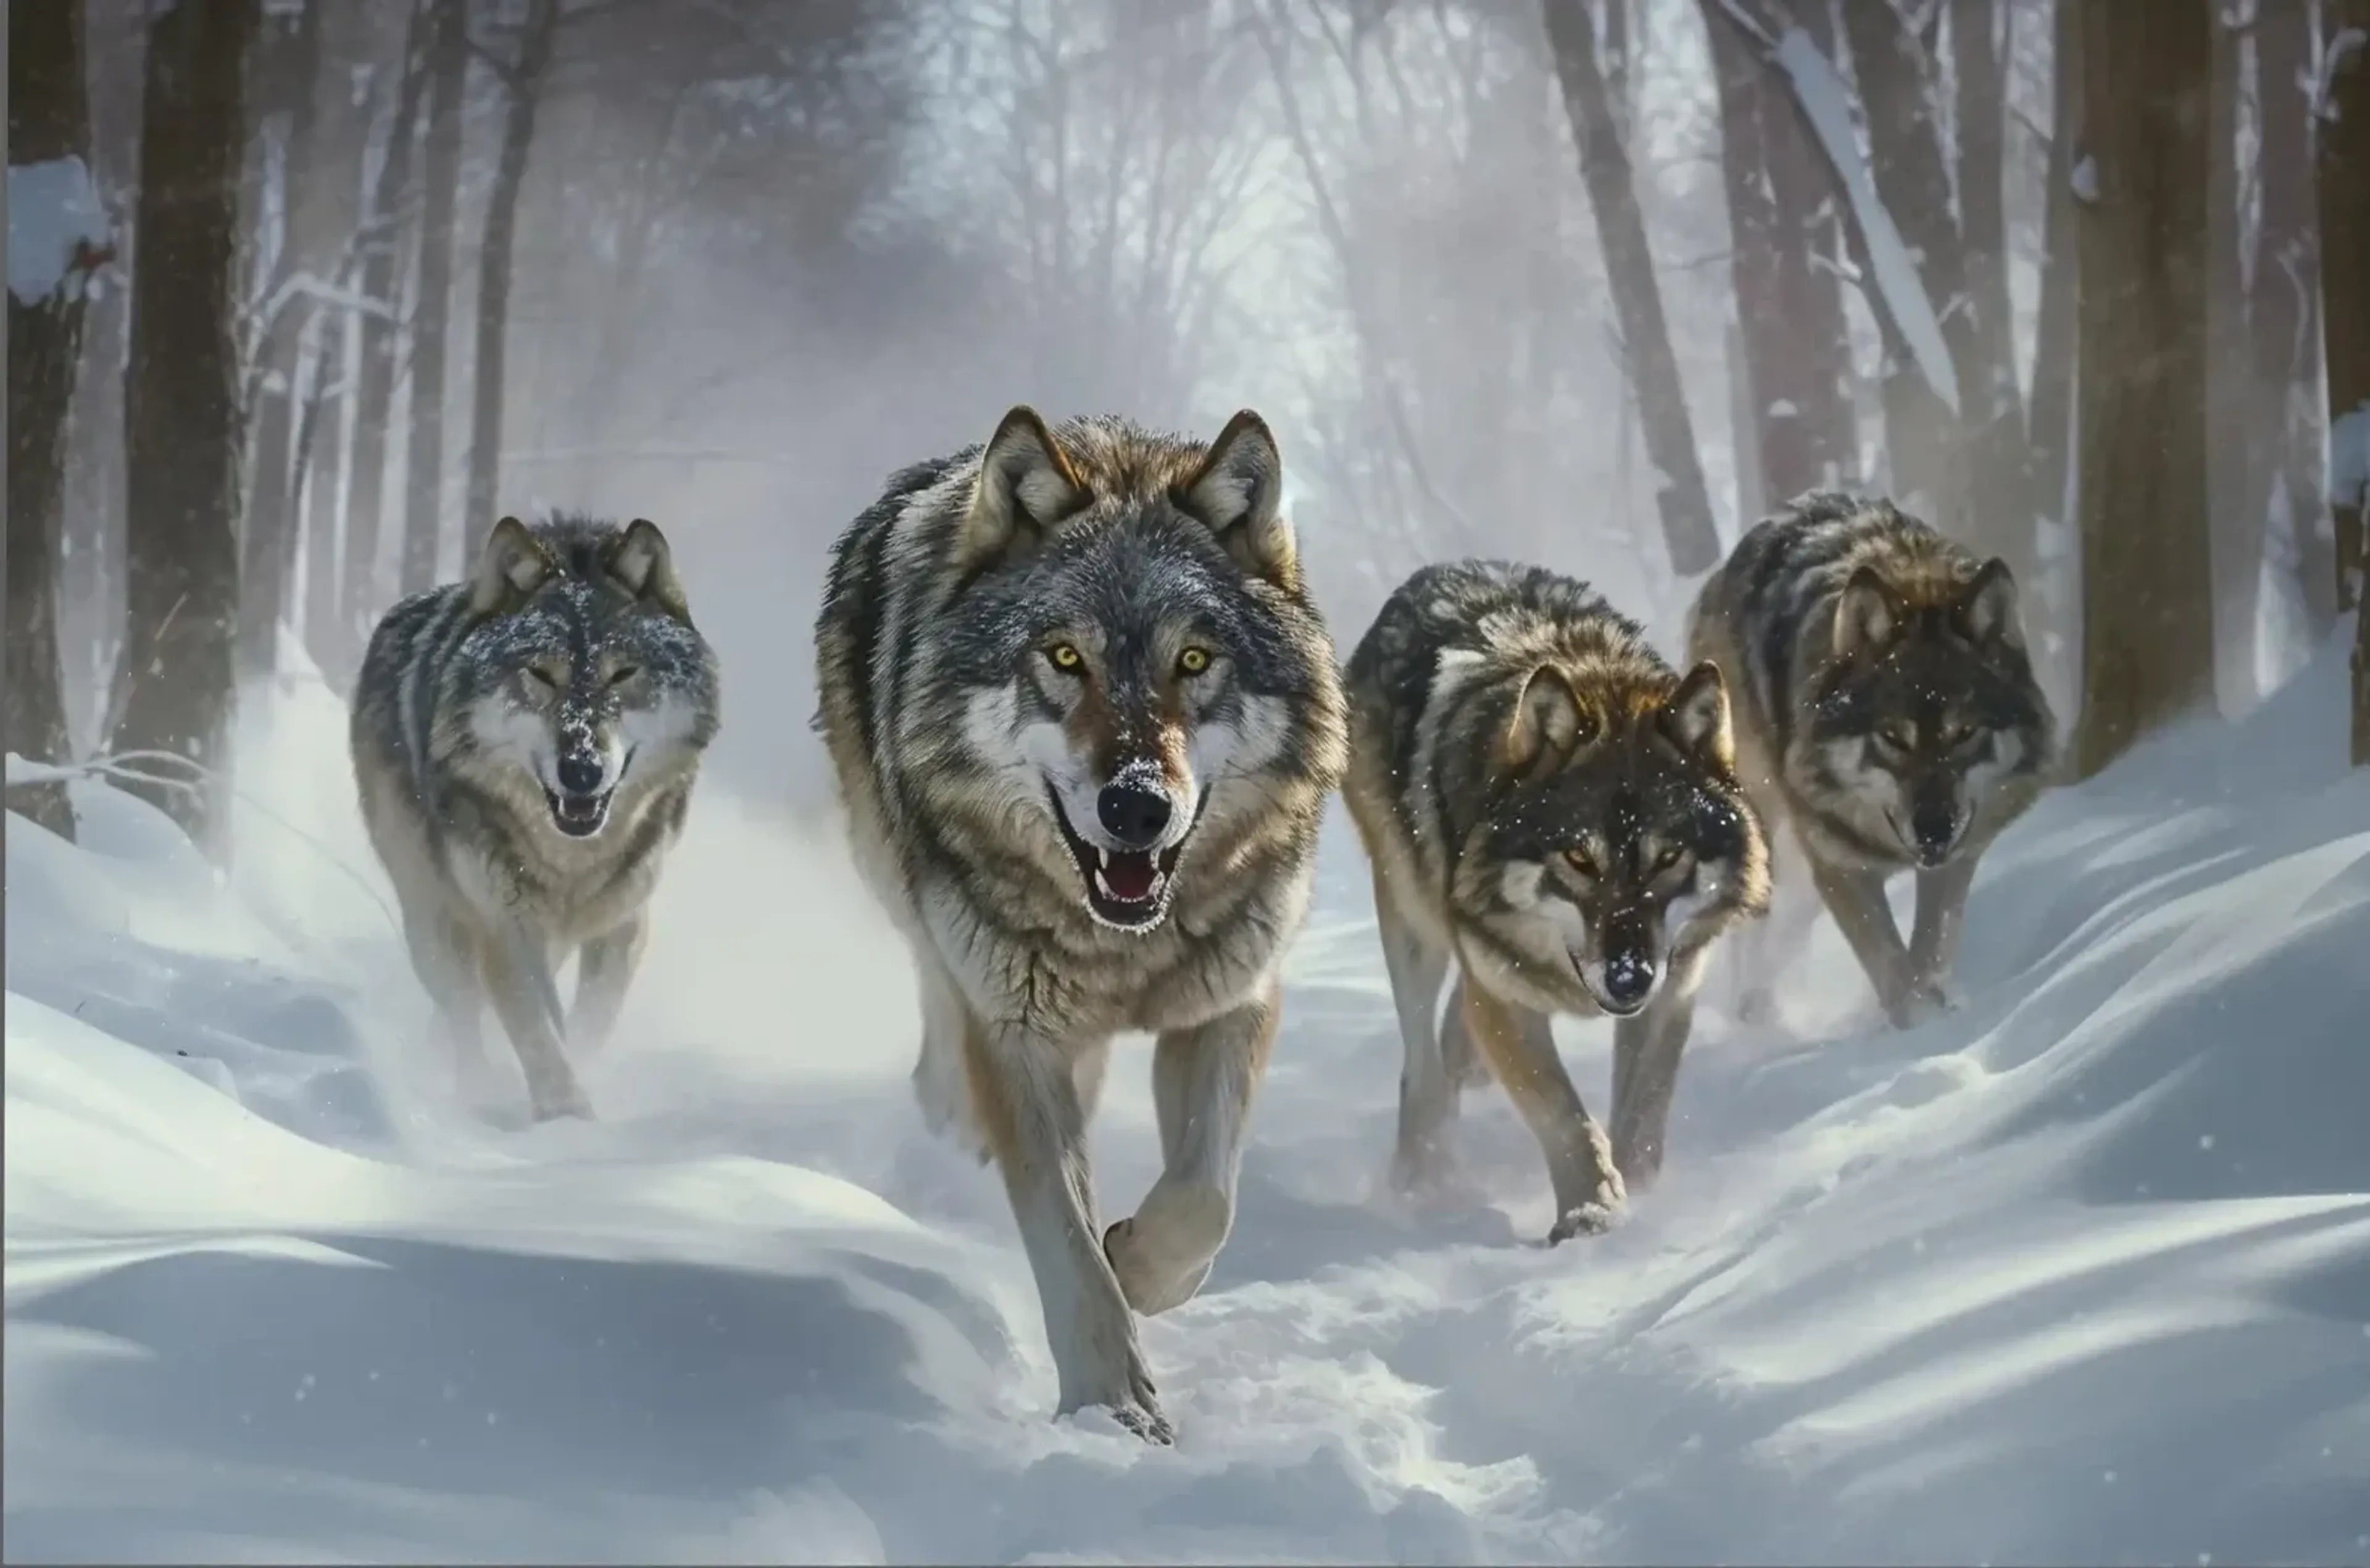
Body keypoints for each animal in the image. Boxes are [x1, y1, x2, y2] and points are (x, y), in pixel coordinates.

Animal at [351, 512, 722, 1122]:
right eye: (542, 675)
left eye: (623, 674)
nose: (581, 769)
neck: (572, 859)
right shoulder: (504, 925)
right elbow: (534, 1029)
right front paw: (565, 1113)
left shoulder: (624, 919)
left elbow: (592, 1018)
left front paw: (578, 1085)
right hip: (431, 919)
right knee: (461, 1011)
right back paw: (474, 1089)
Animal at [813, 406, 1346, 1443]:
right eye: (1065, 658)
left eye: (1194, 660)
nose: (1136, 806)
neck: (1123, 948)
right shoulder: (1015, 1037)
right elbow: (1065, 1248)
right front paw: (1114, 1410)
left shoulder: (1231, 1000)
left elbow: (1204, 1200)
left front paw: (1138, 1263)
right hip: (911, 896)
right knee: (942, 1018)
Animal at [1342, 560, 1771, 1241]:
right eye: (1579, 859)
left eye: (1668, 858)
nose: (1628, 978)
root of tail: (1440, 570)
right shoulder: (1506, 1003)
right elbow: (1567, 1119)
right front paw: (1591, 1215)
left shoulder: (1674, 987)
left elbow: (1642, 1117)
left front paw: (1638, 1199)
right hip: (1411, 924)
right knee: (1423, 1064)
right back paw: (1422, 1177)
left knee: (1453, 1036)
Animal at [1685, 492, 2055, 1030]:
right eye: (1892, 737)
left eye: (1965, 733)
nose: (1933, 829)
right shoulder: (1842, 865)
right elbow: (1890, 963)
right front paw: (1920, 1029)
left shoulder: (1956, 853)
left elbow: (1933, 946)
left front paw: (1944, 1006)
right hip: (1765, 828)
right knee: (1754, 925)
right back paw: (1755, 1013)